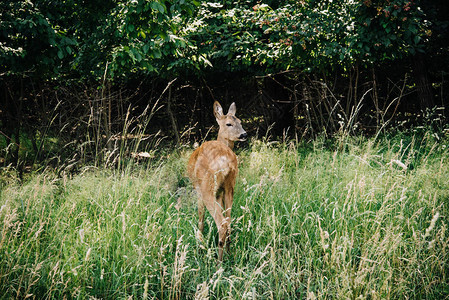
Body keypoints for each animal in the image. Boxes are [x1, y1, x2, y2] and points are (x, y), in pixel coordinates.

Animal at [186, 101, 247, 260]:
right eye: (229, 123)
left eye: (240, 122)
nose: (244, 134)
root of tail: (226, 160)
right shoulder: (220, 192)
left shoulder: (199, 190)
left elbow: (200, 218)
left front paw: (200, 244)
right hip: (230, 185)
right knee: (228, 221)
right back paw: (229, 253)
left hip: (207, 186)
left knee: (222, 224)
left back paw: (218, 262)